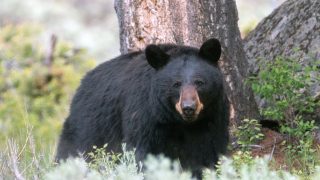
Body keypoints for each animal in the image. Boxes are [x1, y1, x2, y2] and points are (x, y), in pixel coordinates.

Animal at [56, 38, 229, 179]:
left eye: (200, 82)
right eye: (176, 84)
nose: (188, 108)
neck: (178, 122)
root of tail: (81, 84)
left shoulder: (213, 117)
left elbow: (208, 154)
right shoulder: (145, 114)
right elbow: (141, 153)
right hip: (88, 128)